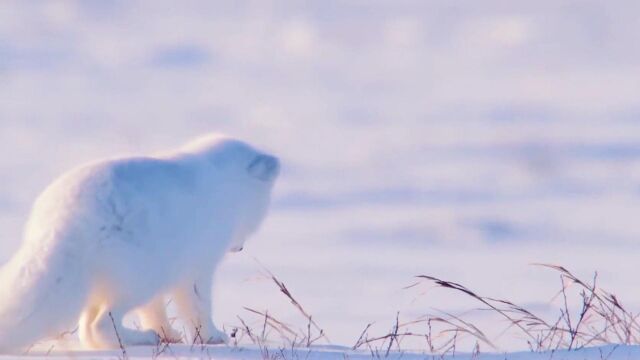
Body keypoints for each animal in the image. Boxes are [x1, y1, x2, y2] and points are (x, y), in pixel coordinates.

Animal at [0, 135, 280, 352]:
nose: (239, 247)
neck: (225, 184)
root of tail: (65, 221)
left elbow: (154, 310)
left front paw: (170, 334)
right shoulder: (198, 264)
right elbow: (197, 304)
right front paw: (213, 337)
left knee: (88, 329)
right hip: (138, 277)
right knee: (99, 324)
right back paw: (144, 338)